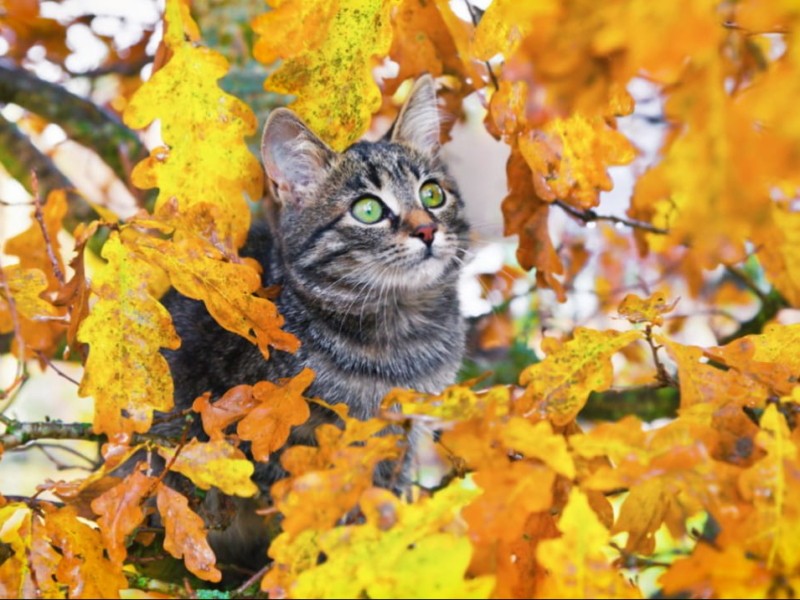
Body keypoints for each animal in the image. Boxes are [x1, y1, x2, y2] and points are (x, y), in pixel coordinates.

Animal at [160, 77, 472, 568]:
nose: (427, 230)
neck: (399, 328)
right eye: (368, 210)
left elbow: (383, 498)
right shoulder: (272, 442)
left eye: (432, 195)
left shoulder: (397, 441)